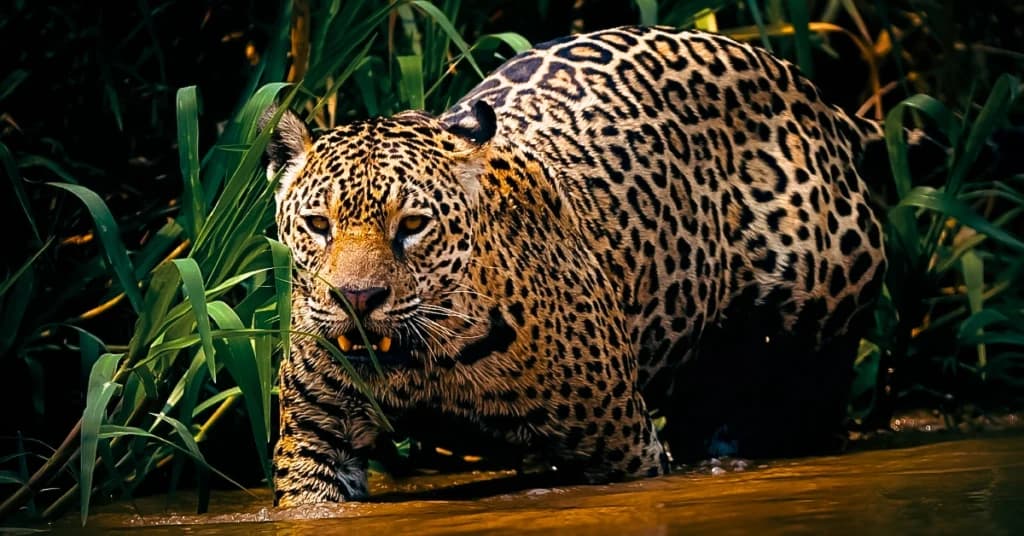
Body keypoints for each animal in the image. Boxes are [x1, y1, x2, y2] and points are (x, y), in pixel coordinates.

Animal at [263, 26, 890, 507]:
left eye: (412, 225)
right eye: (318, 224)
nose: (356, 299)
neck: (424, 365)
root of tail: (819, 100)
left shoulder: (621, 446)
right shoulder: (316, 447)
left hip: (809, 349)